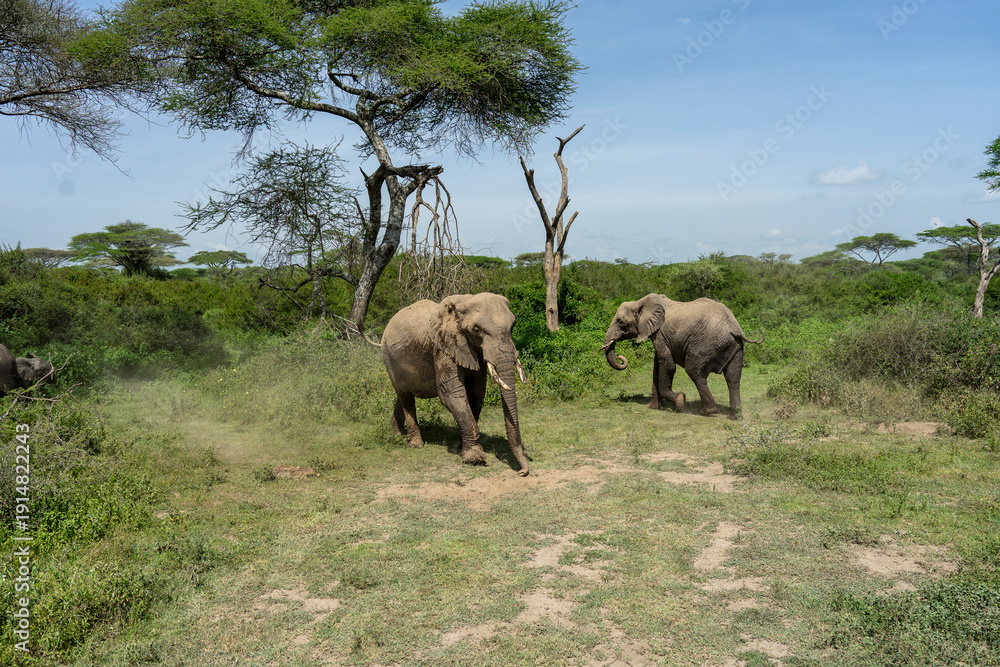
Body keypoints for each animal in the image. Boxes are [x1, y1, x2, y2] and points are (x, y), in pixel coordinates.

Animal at [375, 293, 531, 476]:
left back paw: (398, 434)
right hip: (388, 357)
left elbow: (476, 395)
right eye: (476, 330)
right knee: (406, 396)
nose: (522, 472)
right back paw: (416, 444)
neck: (464, 302)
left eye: (513, 327)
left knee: (403, 396)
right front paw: (475, 459)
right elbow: (452, 394)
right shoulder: (443, 348)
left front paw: (461, 450)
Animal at [600, 294, 764, 420]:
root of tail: (734, 328)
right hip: (736, 347)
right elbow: (657, 364)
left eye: (620, 322)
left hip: (704, 344)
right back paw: (733, 417)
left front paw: (680, 400)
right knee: (733, 377)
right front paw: (653, 408)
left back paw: (707, 411)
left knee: (694, 372)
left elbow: (667, 364)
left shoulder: (659, 333)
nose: (621, 357)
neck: (640, 302)